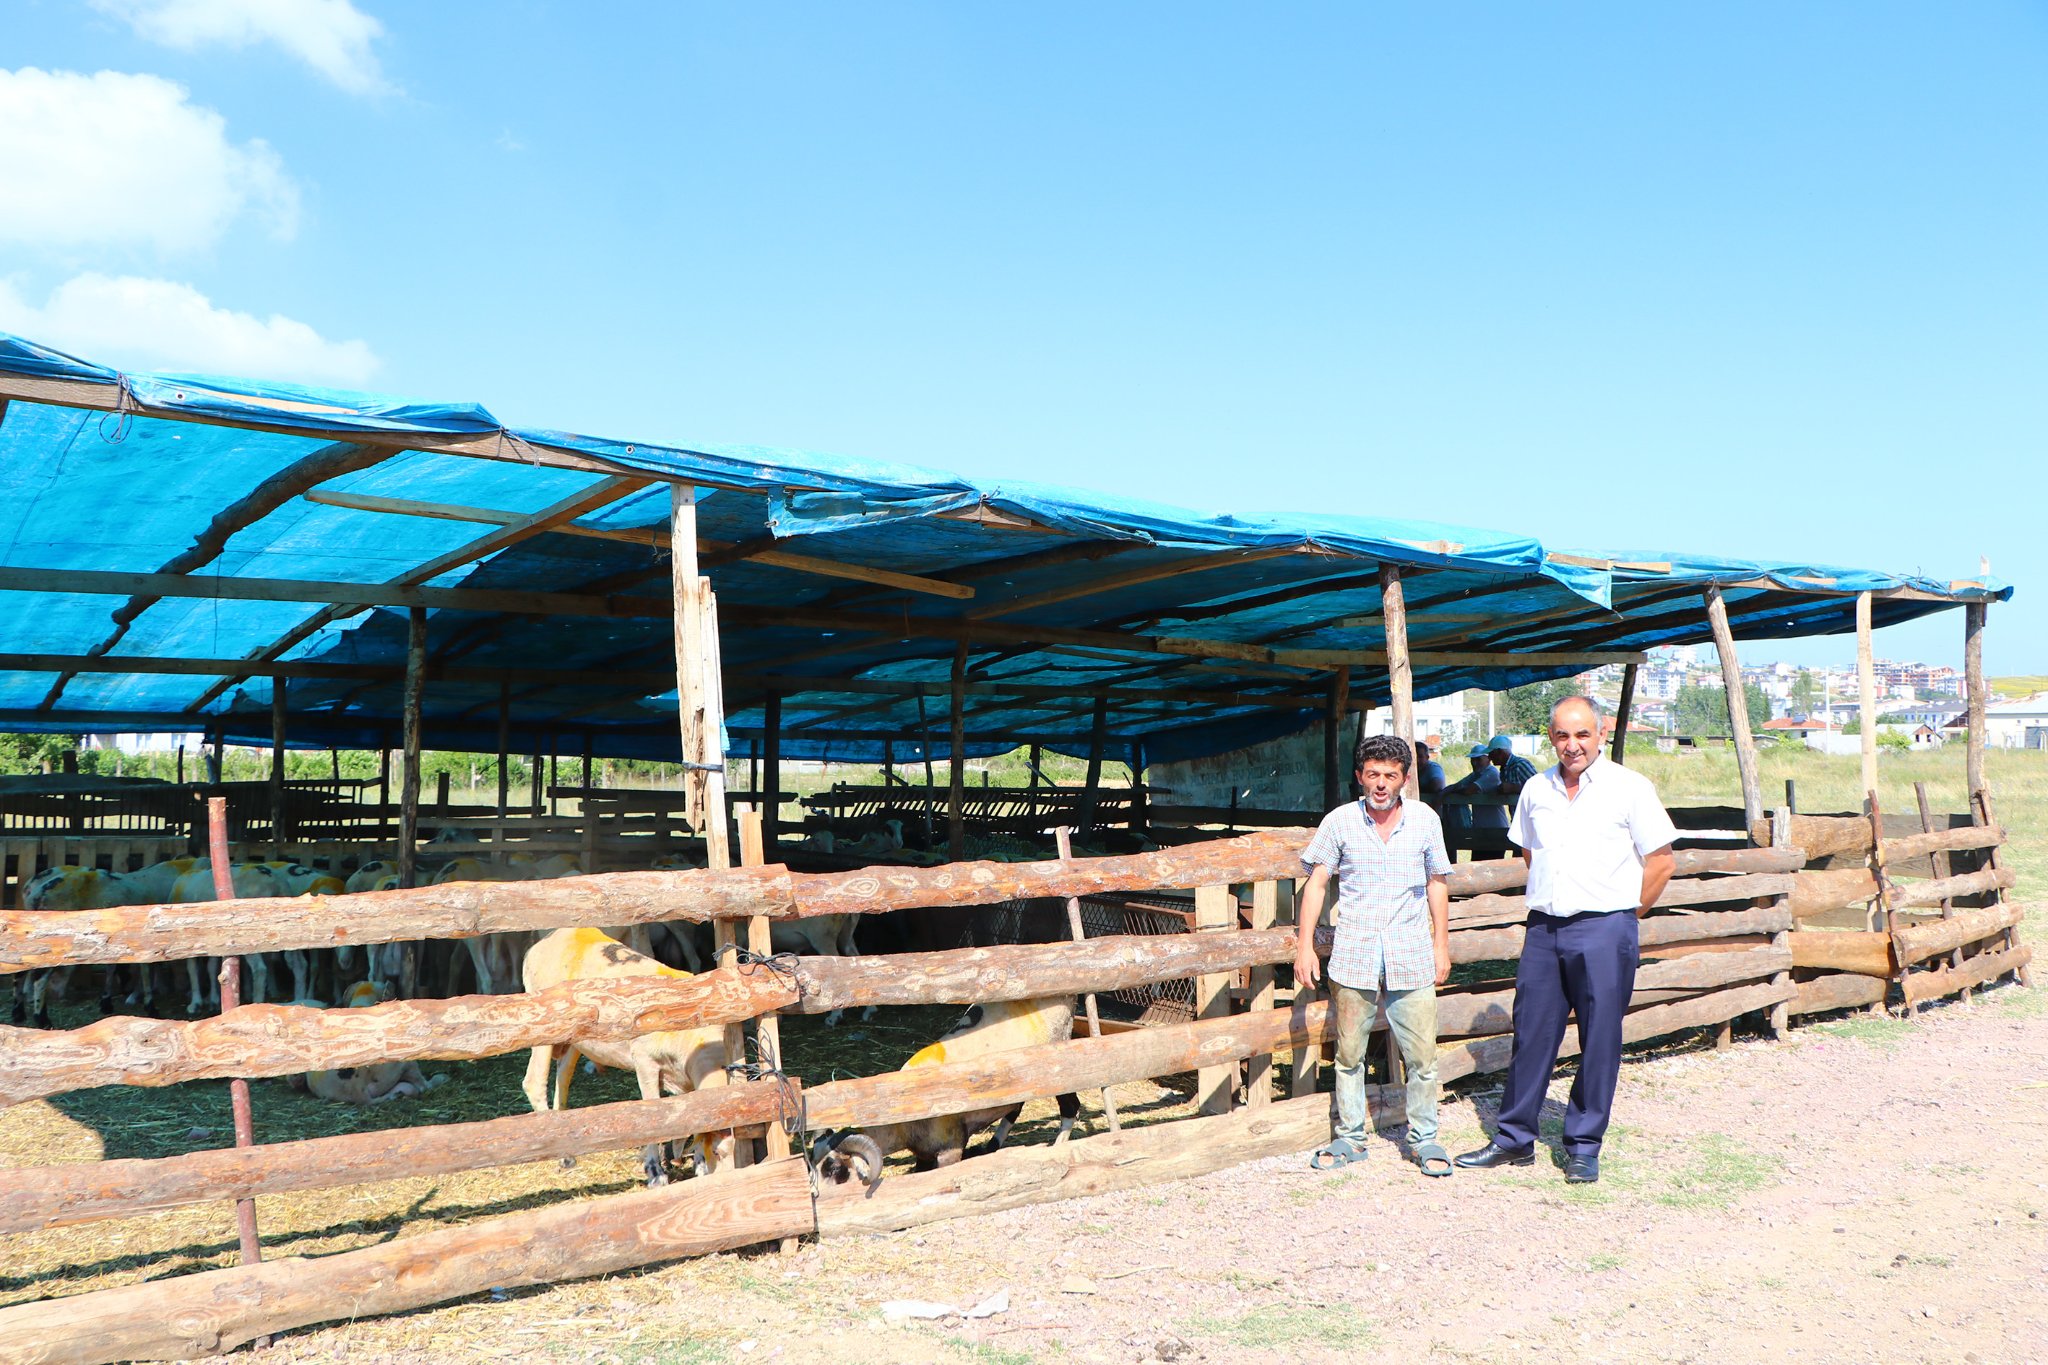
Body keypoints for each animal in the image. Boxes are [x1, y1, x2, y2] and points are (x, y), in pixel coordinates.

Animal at [520, 929, 737, 1186]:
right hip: (542, 1030)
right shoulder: (644, 1061)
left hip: (575, 1039)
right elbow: (654, 1115)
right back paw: (563, 1155)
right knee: (534, 1082)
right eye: (718, 1152)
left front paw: (697, 1164)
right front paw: (656, 1173)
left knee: (562, 1078)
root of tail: (545, 941)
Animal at [806, 998, 1081, 1186]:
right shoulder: (924, 1153)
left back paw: (1058, 1146)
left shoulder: (951, 1149)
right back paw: (992, 1145)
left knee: (1071, 1106)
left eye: (834, 1168)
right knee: (1015, 1108)